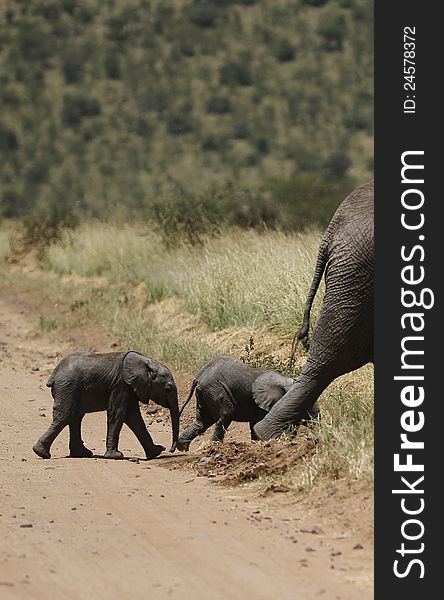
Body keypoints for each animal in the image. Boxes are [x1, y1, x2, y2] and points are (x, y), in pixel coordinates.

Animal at [33, 352, 180, 460]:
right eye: (167, 389)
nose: (171, 449)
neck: (146, 363)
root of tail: (55, 373)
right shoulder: (121, 385)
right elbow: (118, 414)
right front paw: (115, 456)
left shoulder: (131, 388)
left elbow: (134, 418)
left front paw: (157, 452)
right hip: (68, 388)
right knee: (66, 416)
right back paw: (41, 453)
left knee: (75, 418)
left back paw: (81, 454)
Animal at [177, 356, 320, 450]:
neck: (283, 380)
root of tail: (199, 376)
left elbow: (254, 424)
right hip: (215, 389)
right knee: (225, 415)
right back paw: (213, 447)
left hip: (205, 393)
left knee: (202, 421)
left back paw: (182, 447)